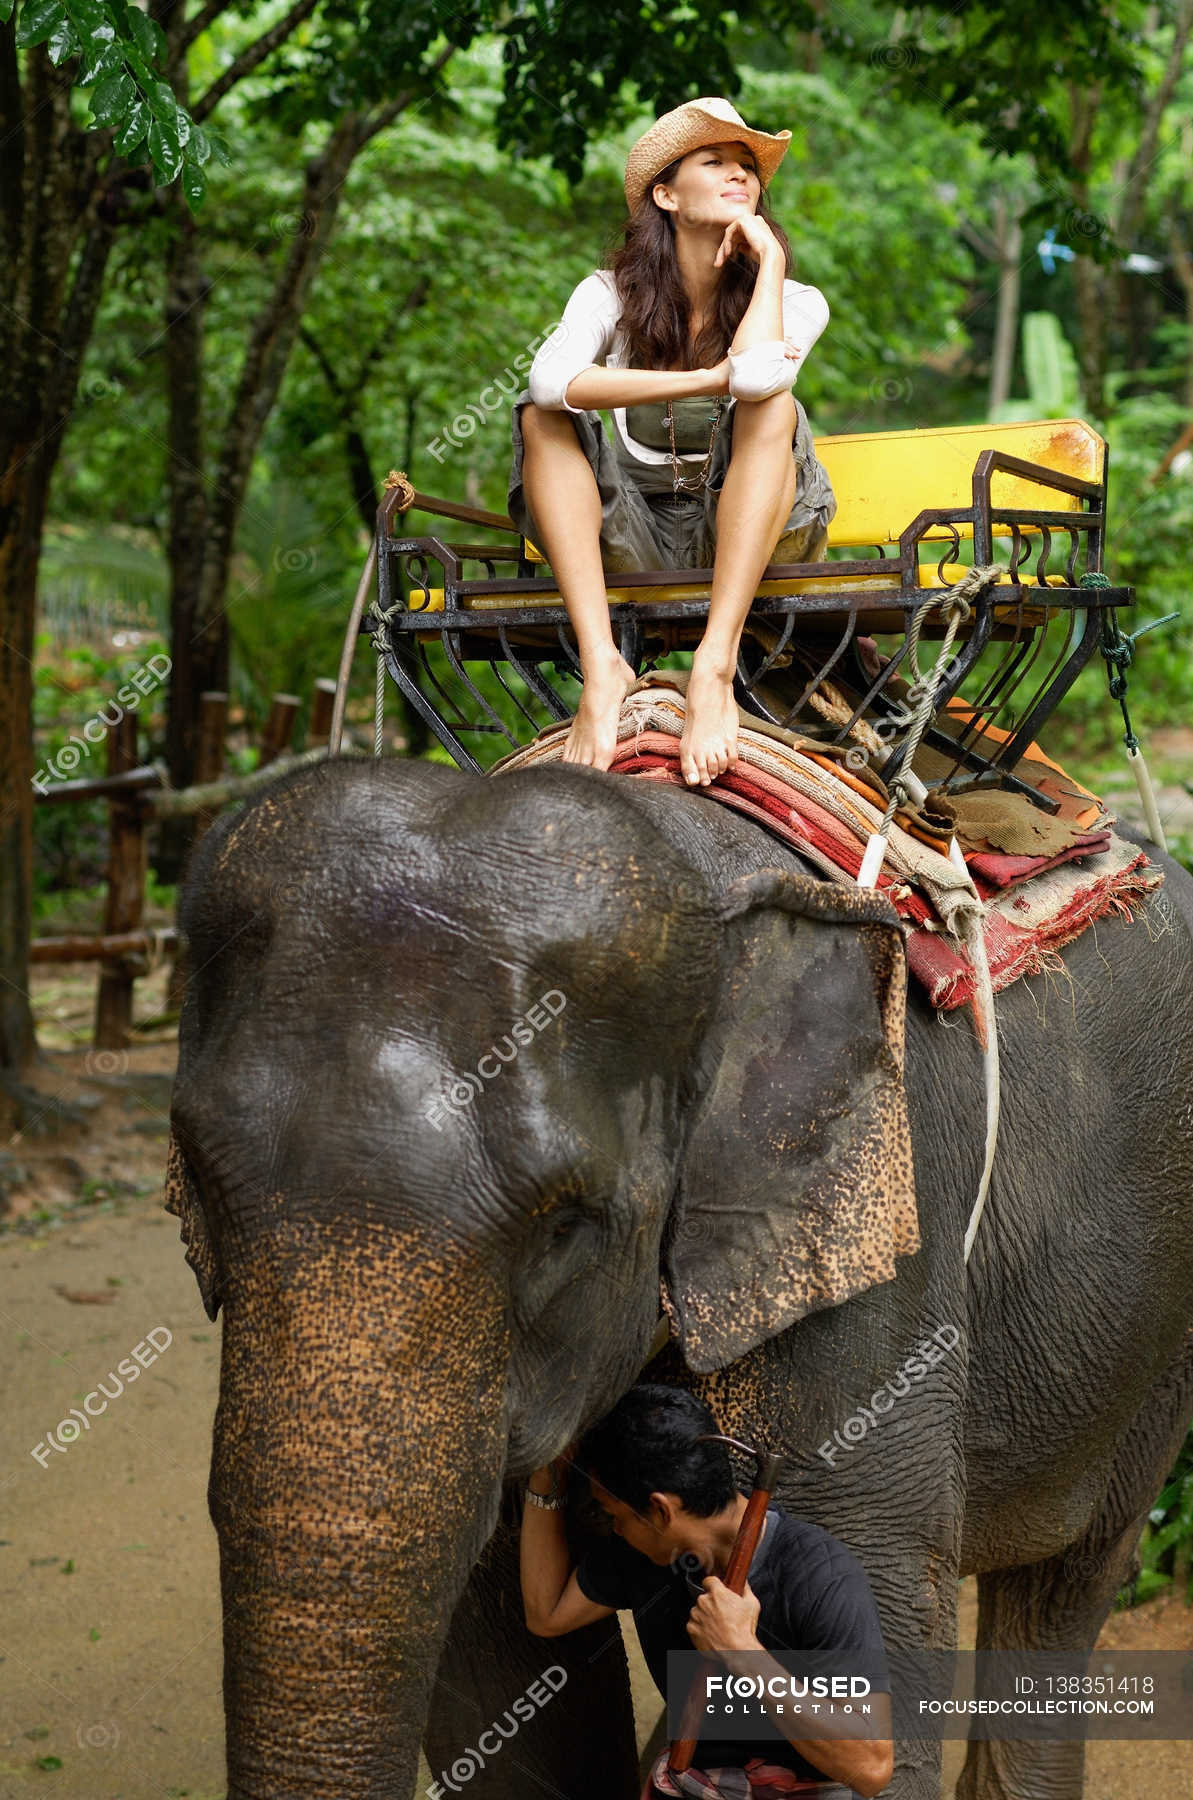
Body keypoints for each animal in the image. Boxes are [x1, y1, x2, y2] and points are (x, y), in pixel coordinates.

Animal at [163, 750, 1193, 1800]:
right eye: (198, 1177)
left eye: (562, 1228)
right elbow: (492, 1666)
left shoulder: (875, 1258)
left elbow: (881, 1637)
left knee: (1072, 1577)